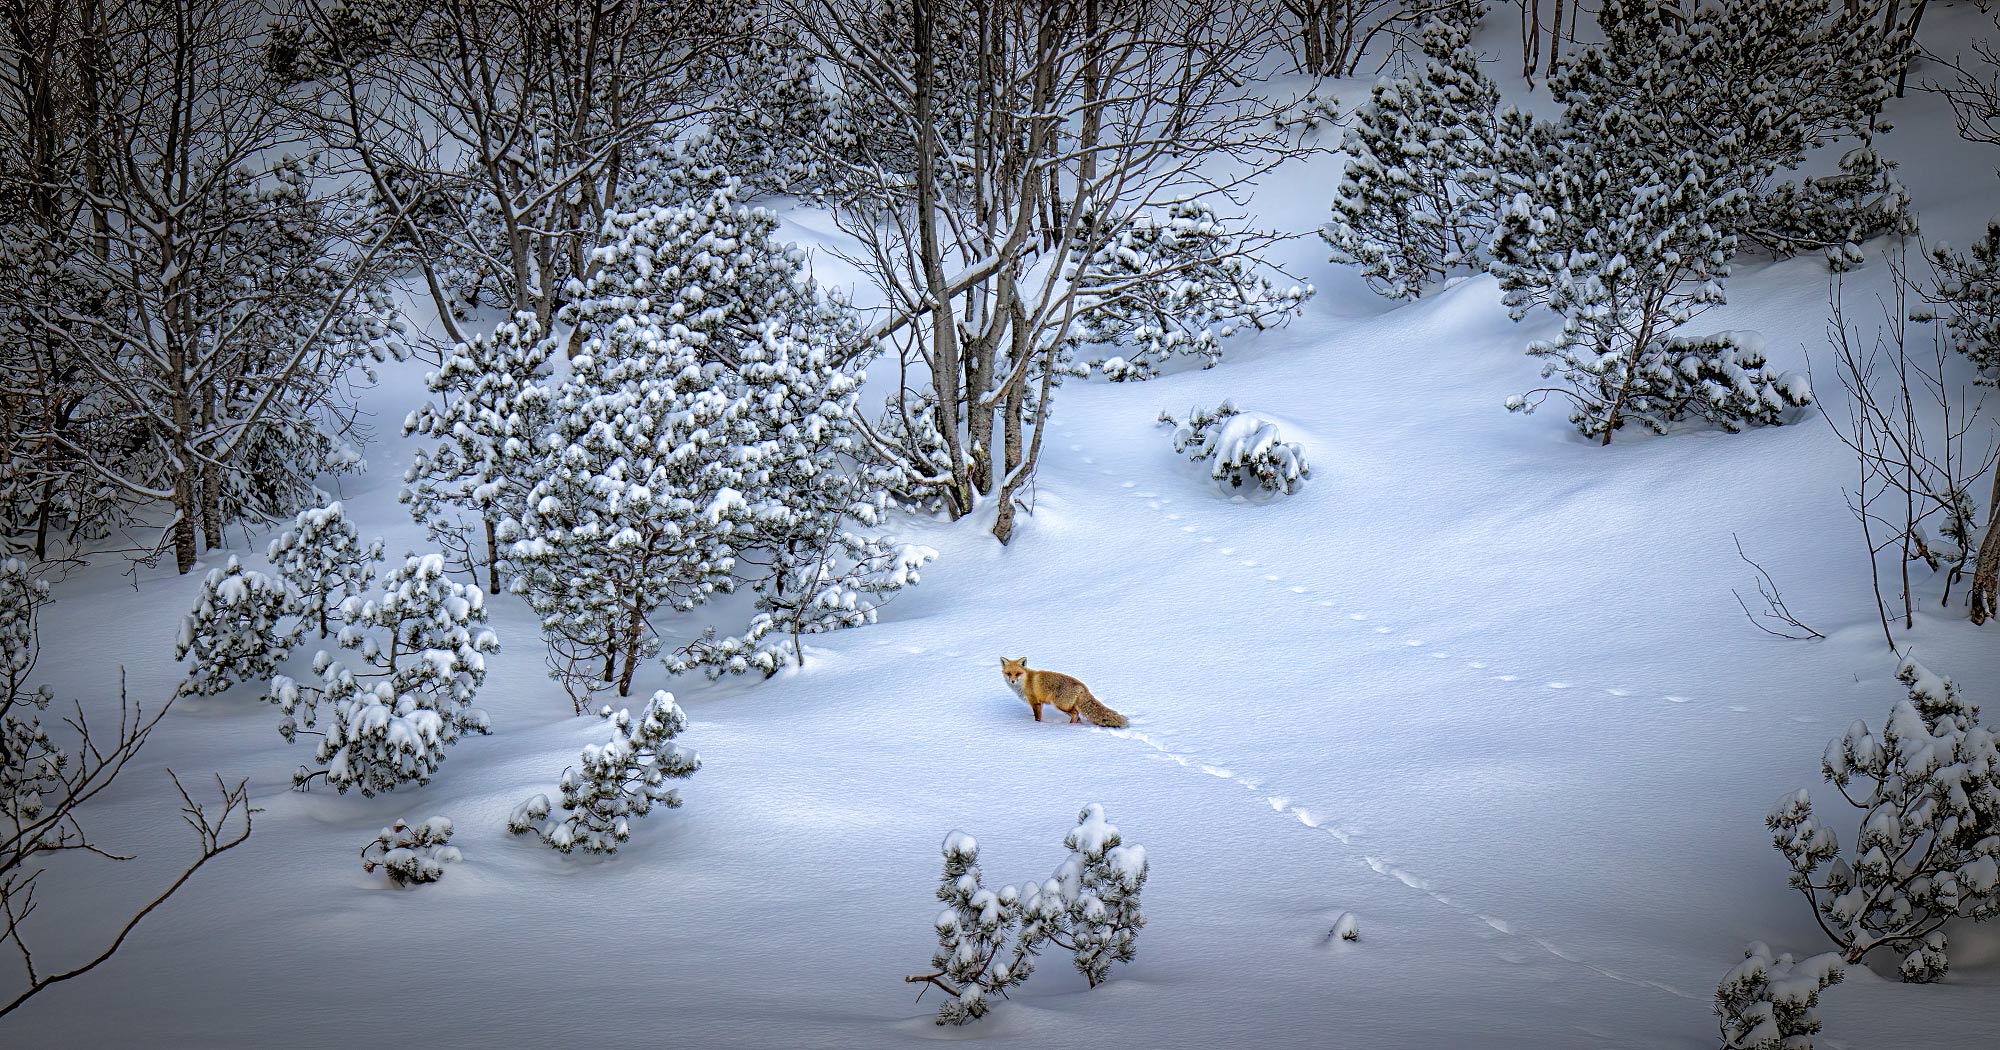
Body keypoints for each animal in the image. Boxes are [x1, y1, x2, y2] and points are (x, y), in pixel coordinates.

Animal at [1000, 660, 1128, 724]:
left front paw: (1037, 725)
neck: (1026, 681)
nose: (1012, 681)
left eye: (1017, 673)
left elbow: (1037, 718)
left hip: (1061, 705)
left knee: (1076, 714)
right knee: (1078, 716)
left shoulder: (1035, 702)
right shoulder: (1039, 703)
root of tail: (1082, 686)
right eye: (1009, 673)